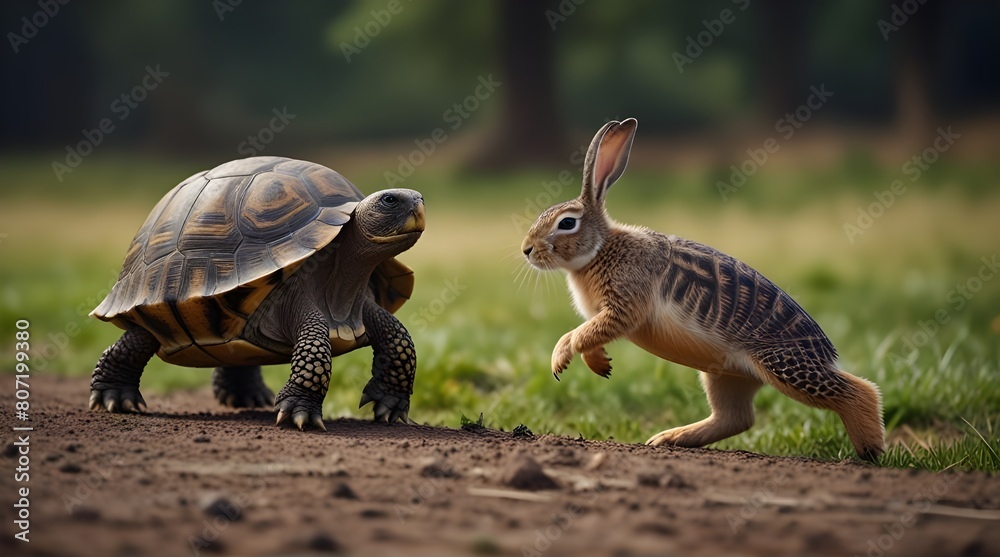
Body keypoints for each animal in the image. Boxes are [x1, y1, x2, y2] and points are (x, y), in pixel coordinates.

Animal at [520, 118, 885, 460]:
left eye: (567, 223)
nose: (526, 249)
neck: (602, 248)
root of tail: (825, 351)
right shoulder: (606, 317)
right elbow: (588, 336)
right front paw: (598, 364)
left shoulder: (623, 306)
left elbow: (580, 334)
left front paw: (559, 358)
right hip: (727, 375)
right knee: (735, 418)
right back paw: (670, 438)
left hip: (785, 366)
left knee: (858, 391)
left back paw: (870, 451)